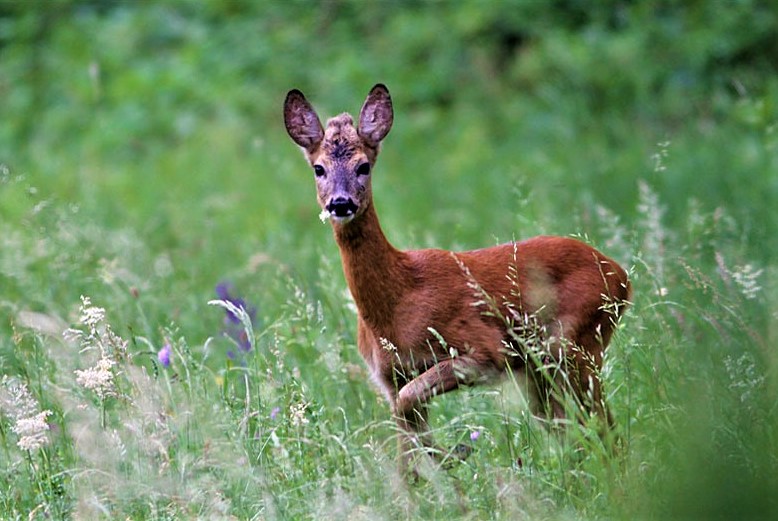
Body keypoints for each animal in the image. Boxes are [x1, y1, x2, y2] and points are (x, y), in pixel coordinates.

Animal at [282, 82, 628, 468]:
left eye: (363, 166)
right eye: (318, 168)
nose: (340, 203)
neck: (397, 303)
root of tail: (621, 275)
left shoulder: (484, 349)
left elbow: (409, 404)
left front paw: (456, 453)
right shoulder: (388, 375)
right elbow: (406, 447)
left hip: (575, 346)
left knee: (604, 430)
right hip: (544, 369)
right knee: (577, 431)